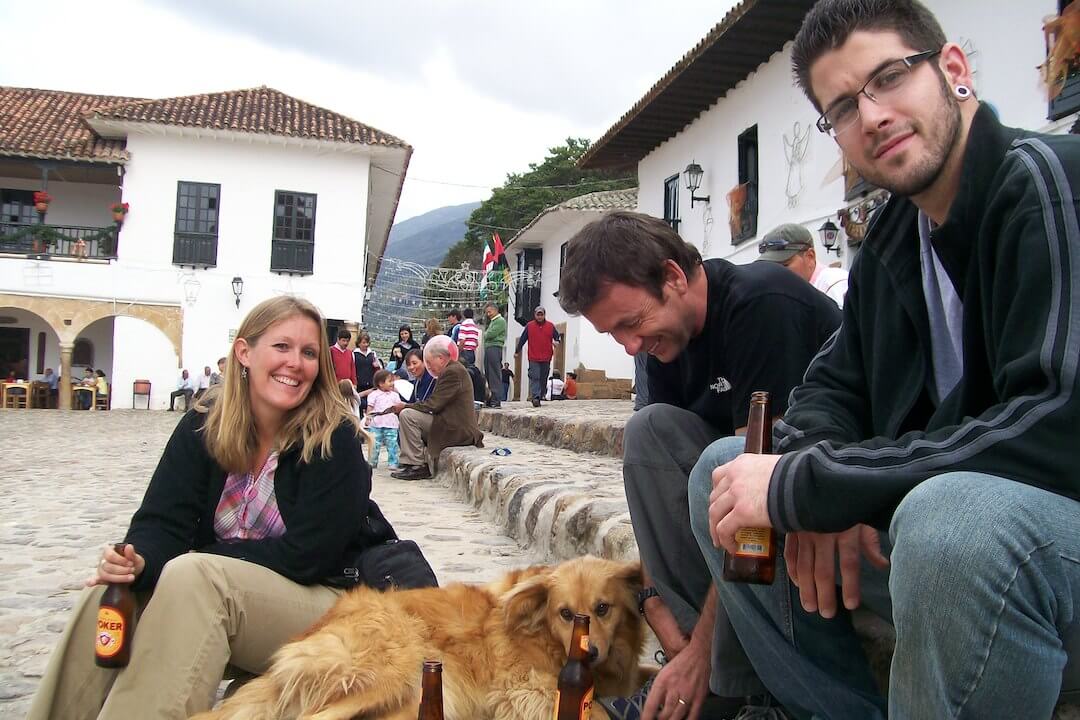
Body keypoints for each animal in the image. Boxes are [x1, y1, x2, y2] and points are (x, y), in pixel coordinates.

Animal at [191, 557, 643, 720]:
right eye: (566, 613)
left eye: (604, 608)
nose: (593, 652)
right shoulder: (522, 688)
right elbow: (595, 712)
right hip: (391, 670)